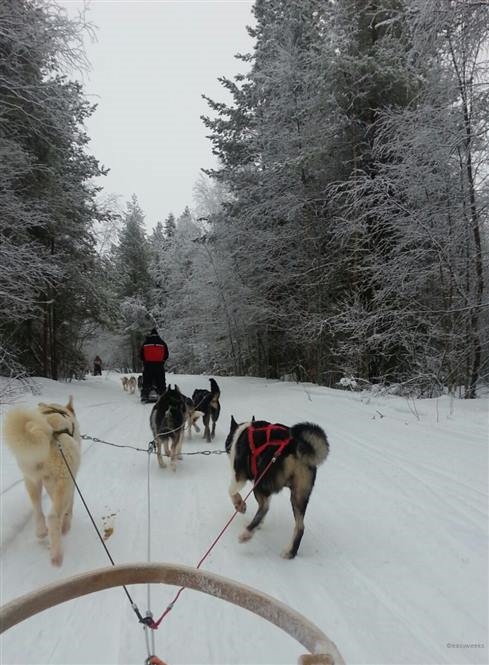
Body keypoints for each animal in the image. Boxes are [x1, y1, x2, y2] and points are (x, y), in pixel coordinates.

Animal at [3, 394, 81, 564]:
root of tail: (48, 431)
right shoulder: (69, 483)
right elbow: (70, 505)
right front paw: (67, 523)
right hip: (64, 481)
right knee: (53, 516)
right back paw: (57, 554)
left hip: (31, 480)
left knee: (37, 508)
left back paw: (41, 531)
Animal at [224, 418, 328, 556]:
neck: (242, 432)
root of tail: (292, 447)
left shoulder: (239, 477)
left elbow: (231, 491)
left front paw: (239, 505)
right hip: (299, 496)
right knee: (300, 527)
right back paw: (289, 552)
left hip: (260, 482)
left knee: (264, 507)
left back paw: (247, 533)